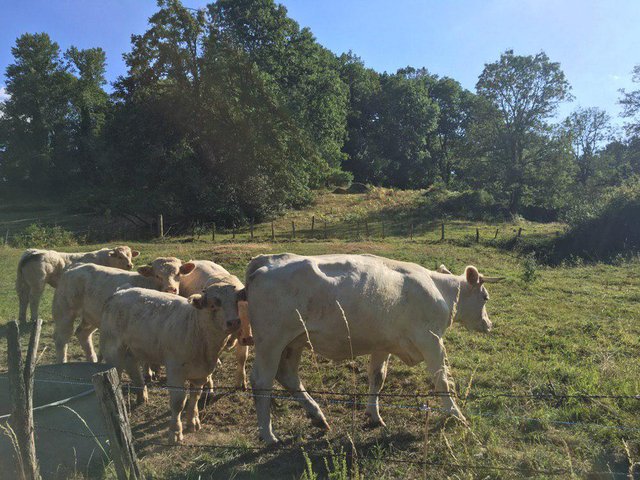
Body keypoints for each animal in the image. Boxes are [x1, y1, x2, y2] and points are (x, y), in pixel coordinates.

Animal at [52, 256, 195, 362]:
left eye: (178, 274)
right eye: (157, 275)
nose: (171, 289)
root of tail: (75, 267)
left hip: (92, 316)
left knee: (83, 334)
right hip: (64, 311)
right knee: (61, 340)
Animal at [100, 282, 245, 442]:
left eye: (236, 301)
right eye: (213, 305)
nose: (234, 322)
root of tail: (119, 292)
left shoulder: (201, 374)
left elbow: (195, 397)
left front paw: (193, 422)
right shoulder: (175, 371)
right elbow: (178, 402)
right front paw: (175, 431)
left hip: (131, 349)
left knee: (132, 368)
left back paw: (142, 396)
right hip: (113, 350)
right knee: (118, 374)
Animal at [242, 253, 502, 444]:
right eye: (485, 297)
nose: (489, 324)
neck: (439, 290)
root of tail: (267, 259)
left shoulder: (384, 344)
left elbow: (377, 378)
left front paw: (374, 415)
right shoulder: (431, 341)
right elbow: (443, 380)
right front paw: (456, 415)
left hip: (294, 342)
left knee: (288, 376)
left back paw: (317, 416)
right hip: (270, 341)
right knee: (262, 381)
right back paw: (268, 435)